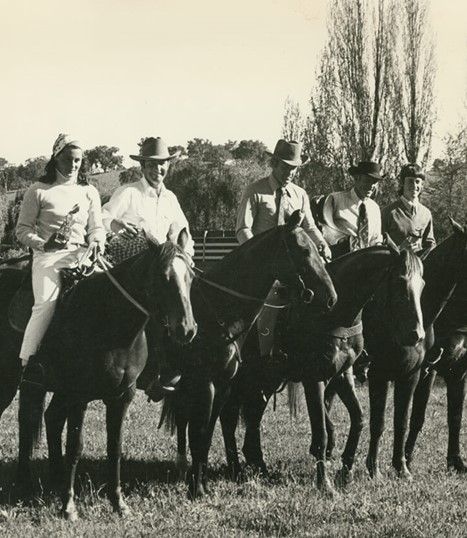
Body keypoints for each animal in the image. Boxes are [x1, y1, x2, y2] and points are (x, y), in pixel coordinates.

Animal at [0, 231, 196, 521]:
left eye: (191, 274)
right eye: (163, 276)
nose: (187, 329)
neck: (109, 320)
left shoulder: (121, 397)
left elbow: (114, 448)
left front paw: (118, 503)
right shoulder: (79, 397)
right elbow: (75, 447)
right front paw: (68, 507)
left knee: (46, 418)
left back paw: (51, 478)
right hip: (11, 382)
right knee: (29, 422)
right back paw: (27, 482)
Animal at [160, 211, 338, 498]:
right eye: (303, 249)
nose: (331, 298)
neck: (215, 306)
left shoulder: (223, 385)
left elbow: (207, 435)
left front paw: (202, 485)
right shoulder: (205, 383)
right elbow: (201, 433)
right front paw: (196, 489)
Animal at [215, 241, 425, 495]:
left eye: (422, 284)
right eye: (400, 282)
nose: (416, 335)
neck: (335, 313)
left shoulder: (342, 375)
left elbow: (359, 419)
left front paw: (346, 472)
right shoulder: (314, 378)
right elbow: (322, 433)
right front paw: (325, 484)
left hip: (264, 380)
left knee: (253, 418)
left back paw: (260, 467)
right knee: (228, 418)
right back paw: (236, 468)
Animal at [363, 220, 467, 481]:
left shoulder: (457, 371)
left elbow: (454, 416)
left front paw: (456, 462)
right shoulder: (426, 372)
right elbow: (414, 417)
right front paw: (403, 460)